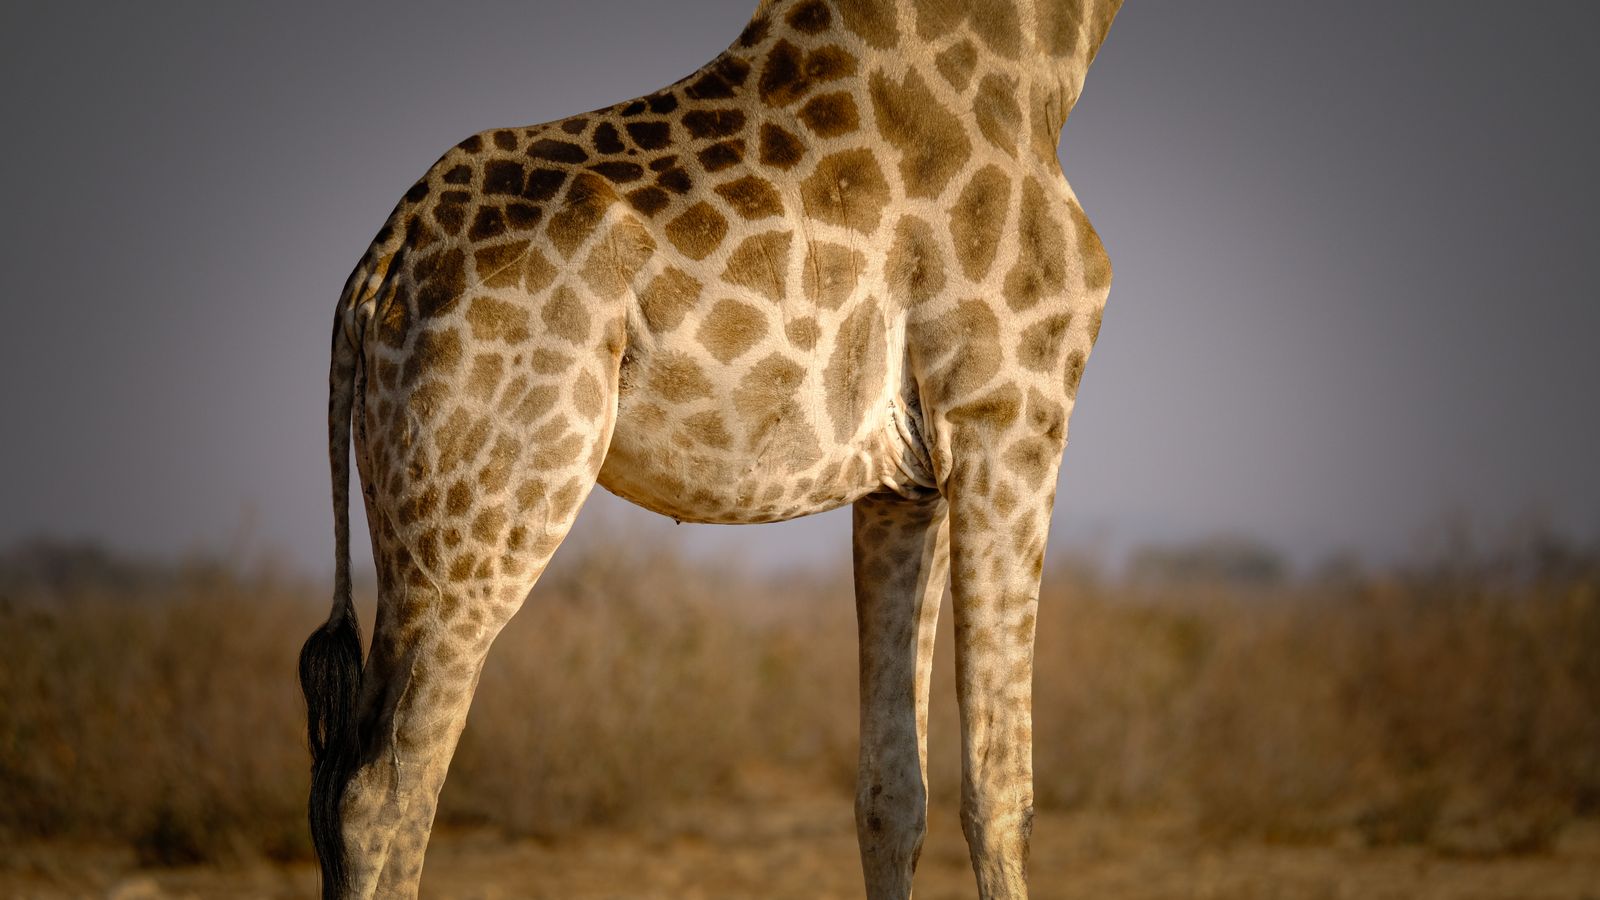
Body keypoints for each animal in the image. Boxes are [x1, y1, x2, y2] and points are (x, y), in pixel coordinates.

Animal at [298, 1, 1122, 897]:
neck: (1046, 60)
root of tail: (379, 265)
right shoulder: (1009, 410)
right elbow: (1003, 792)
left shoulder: (907, 477)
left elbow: (892, 793)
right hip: (487, 511)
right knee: (384, 791)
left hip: (412, 513)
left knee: (339, 784)